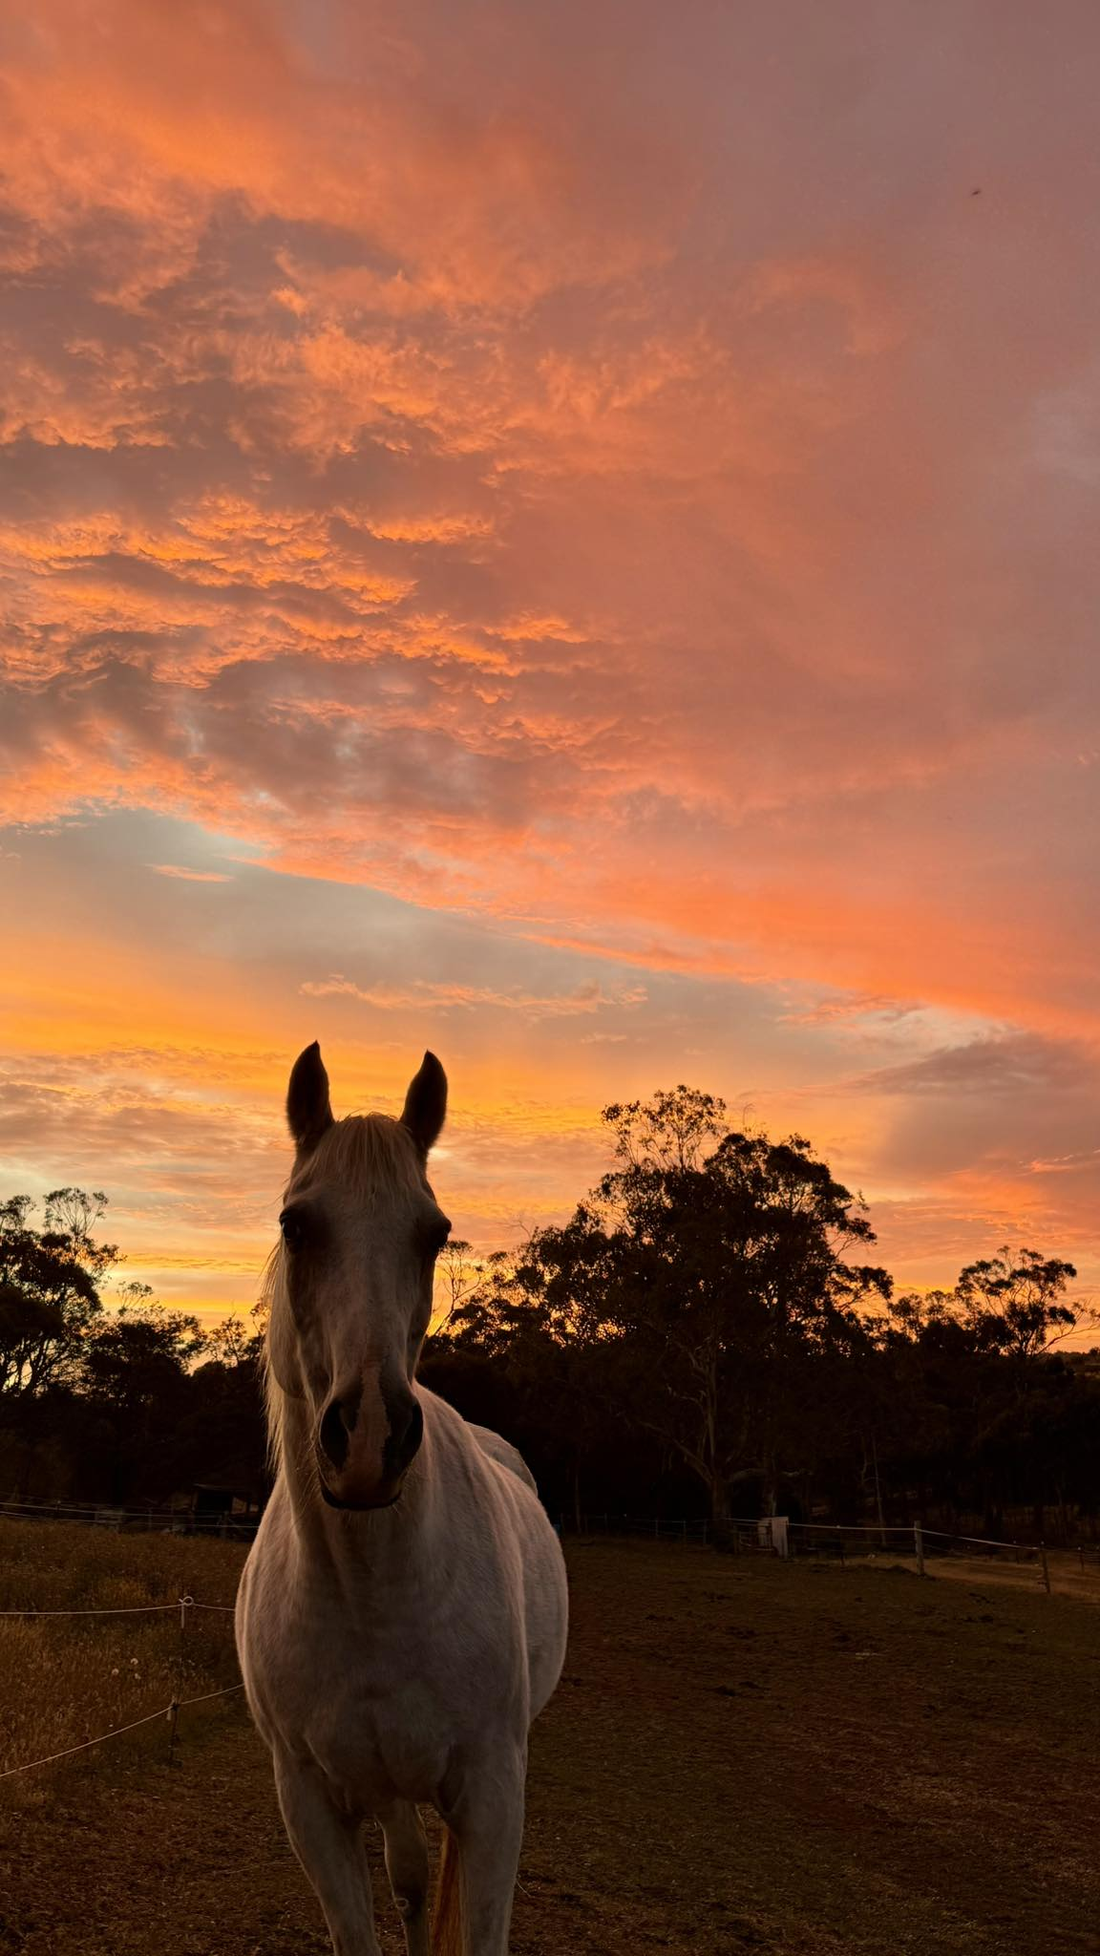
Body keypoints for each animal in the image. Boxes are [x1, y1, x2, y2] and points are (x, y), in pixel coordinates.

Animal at [235, 1043, 569, 1956]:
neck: (372, 1591)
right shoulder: (311, 1805)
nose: (371, 1438)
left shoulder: (493, 1794)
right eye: (296, 1224)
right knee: (414, 1882)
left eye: (436, 1232)